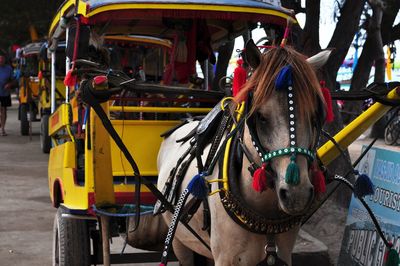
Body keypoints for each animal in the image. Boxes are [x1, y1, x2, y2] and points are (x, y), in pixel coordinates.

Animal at [157, 40, 332, 266]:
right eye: (261, 116)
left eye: (314, 117)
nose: (297, 195)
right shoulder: (226, 258)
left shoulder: (283, 254)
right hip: (180, 240)